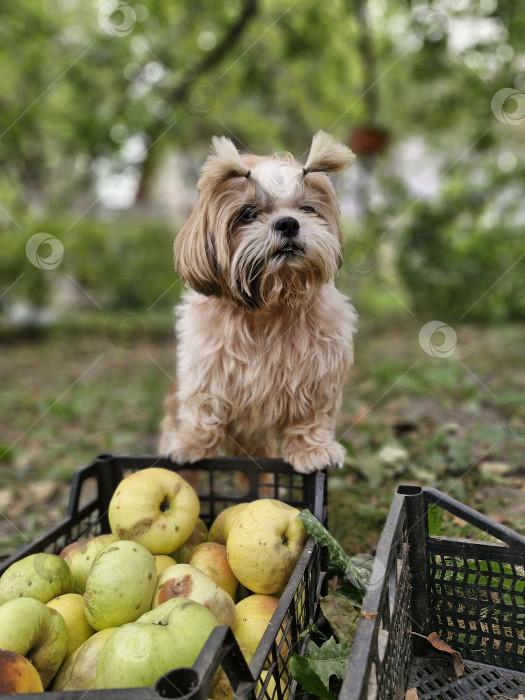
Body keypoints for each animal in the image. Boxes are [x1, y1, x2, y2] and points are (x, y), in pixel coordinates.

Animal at [160, 130, 356, 476]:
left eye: (307, 208)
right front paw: (191, 444)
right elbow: (202, 406)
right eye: (249, 213)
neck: (270, 304)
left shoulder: (321, 368)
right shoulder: (205, 367)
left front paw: (313, 449)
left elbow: (312, 415)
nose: (288, 222)